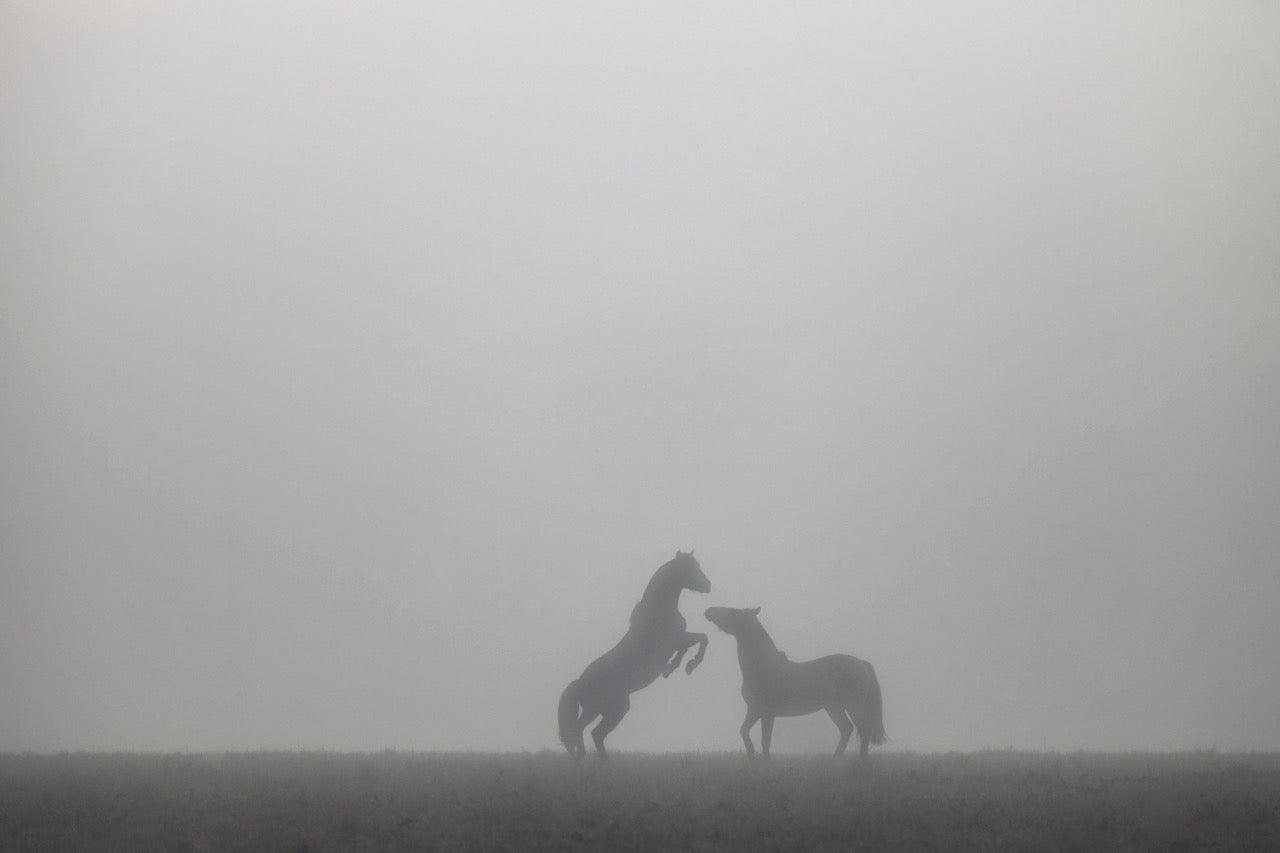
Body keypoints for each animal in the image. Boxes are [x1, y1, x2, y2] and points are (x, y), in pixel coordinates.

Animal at [558, 550, 711, 758]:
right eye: (689, 568)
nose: (708, 585)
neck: (659, 610)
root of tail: (579, 683)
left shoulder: (678, 640)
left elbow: (694, 643)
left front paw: (672, 667)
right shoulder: (676, 640)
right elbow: (701, 639)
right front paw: (690, 665)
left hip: (612, 710)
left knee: (595, 734)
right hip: (602, 709)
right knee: (581, 729)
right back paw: (583, 757)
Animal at [701, 604, 890, 758]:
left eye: (734, 612)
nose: (708, 611)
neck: (763, 666)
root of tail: (861, 663)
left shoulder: (764, 712)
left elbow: (764, 740)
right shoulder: (756, 710)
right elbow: (745, 731)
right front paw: (751, 754)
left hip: (853, 706)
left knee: (863, 730)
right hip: (834, 708)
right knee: (847, 729)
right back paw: (836, 758)